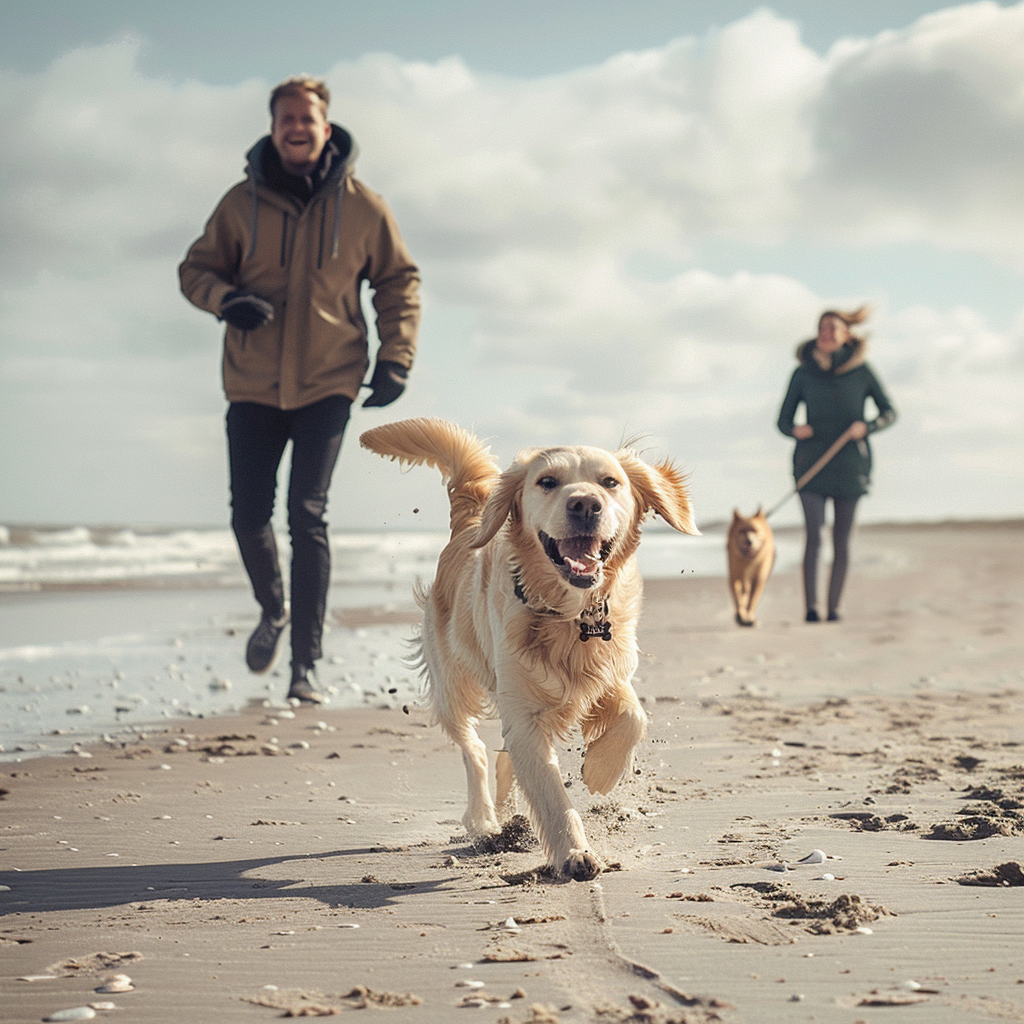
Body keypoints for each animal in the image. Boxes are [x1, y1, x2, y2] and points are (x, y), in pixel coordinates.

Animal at [356, 415, 700, 880]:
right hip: (452, 683)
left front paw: (600, 771)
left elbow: (634, 717)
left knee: (503, 758)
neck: (570, 616)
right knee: (476, 750)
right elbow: (552, 795)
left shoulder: (610, 673)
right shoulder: (525, 712)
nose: (585, 505)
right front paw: (575, 852)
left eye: (610, 482)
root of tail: (470, 516)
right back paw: (483, 820)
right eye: (547, 481)